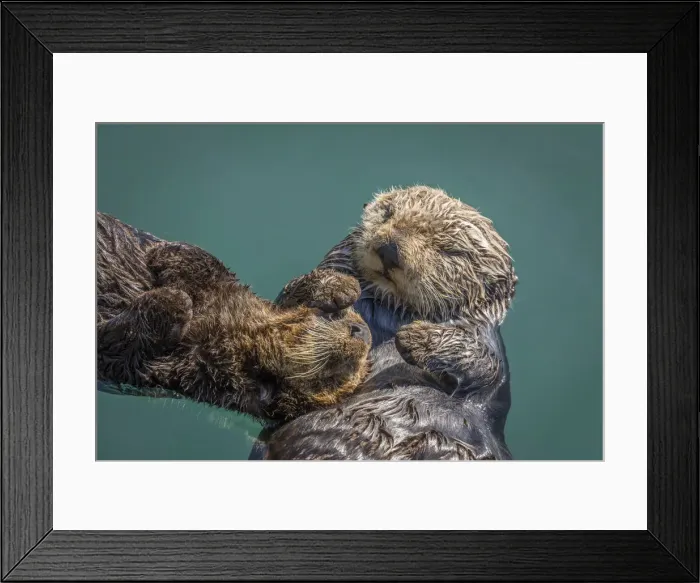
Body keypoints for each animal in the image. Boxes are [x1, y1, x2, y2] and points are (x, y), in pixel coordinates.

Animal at [97, 212, 372, 421]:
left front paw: (175, 300)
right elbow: (188, 254)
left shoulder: (149, 368)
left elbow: (117, 346)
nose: (364, 332)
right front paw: (340, 287)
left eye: (339, 374)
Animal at [253, 185, 517, 459]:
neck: (391, 312)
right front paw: (334, 285)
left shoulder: (493, 379)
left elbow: (487, 365)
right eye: (387, 213)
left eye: (448, 249)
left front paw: (416, 338)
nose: (389, 250)